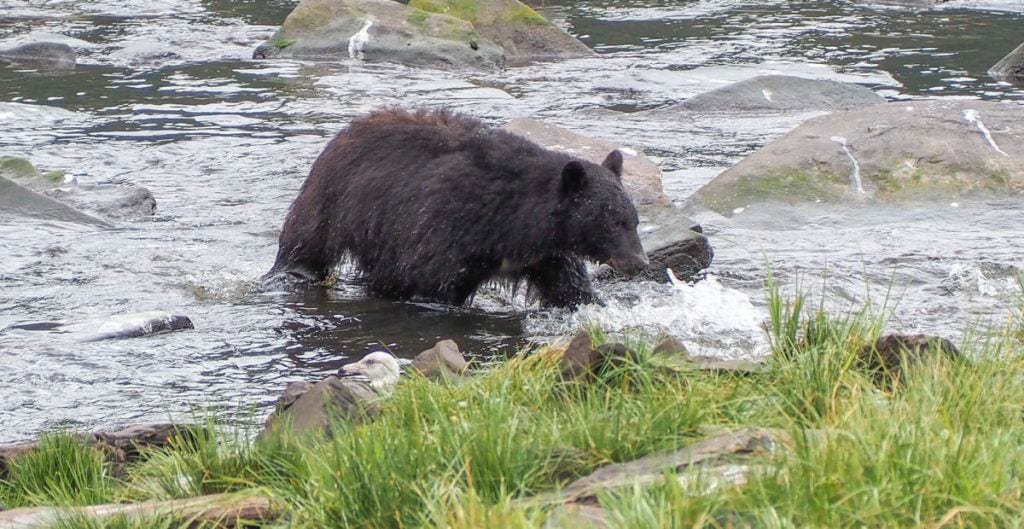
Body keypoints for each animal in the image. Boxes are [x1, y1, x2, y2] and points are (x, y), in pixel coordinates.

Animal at [266, 107, 647, 306]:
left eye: (633, 219)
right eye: (612, 220)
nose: (640, 262)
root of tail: (344, 131)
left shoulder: (547, 254)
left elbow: (570, 288)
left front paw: (592, 304)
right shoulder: (446, 227)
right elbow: (431, 284)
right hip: (332, 201)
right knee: (307, 244)